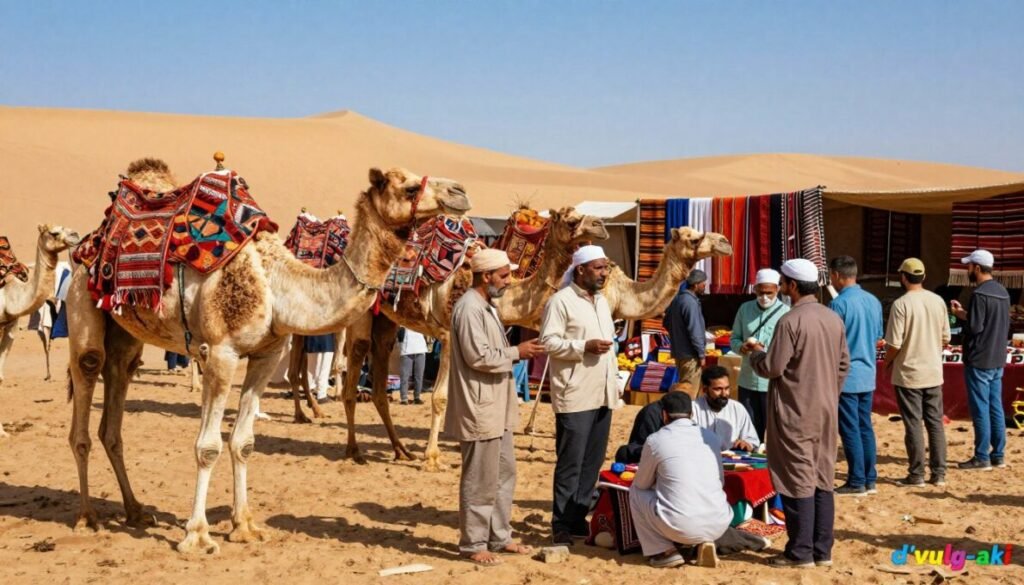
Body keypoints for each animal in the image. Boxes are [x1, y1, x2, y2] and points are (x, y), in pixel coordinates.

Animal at [66, 159, 470, 554]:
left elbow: (243, 442)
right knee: (87, 383)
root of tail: (87, 245)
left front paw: (244, 526)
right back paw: (87, 516)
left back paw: (135, 510)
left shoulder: (267, 355)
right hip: (82, 303)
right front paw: (197, 535)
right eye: (409, 188)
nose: (460, 192)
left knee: (116, 397)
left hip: (126, 333)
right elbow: (208, 446)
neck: (276, 285)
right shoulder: (221, 353)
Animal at [339, 208, 609, 469]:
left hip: (386, 320)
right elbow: (440, 398)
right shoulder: (449, 335)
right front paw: (432, 458)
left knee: (379, 381)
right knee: (353, 372)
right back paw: (354, 451)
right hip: (361, 312)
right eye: (570, 220)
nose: (601, 226)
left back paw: (401, 450)